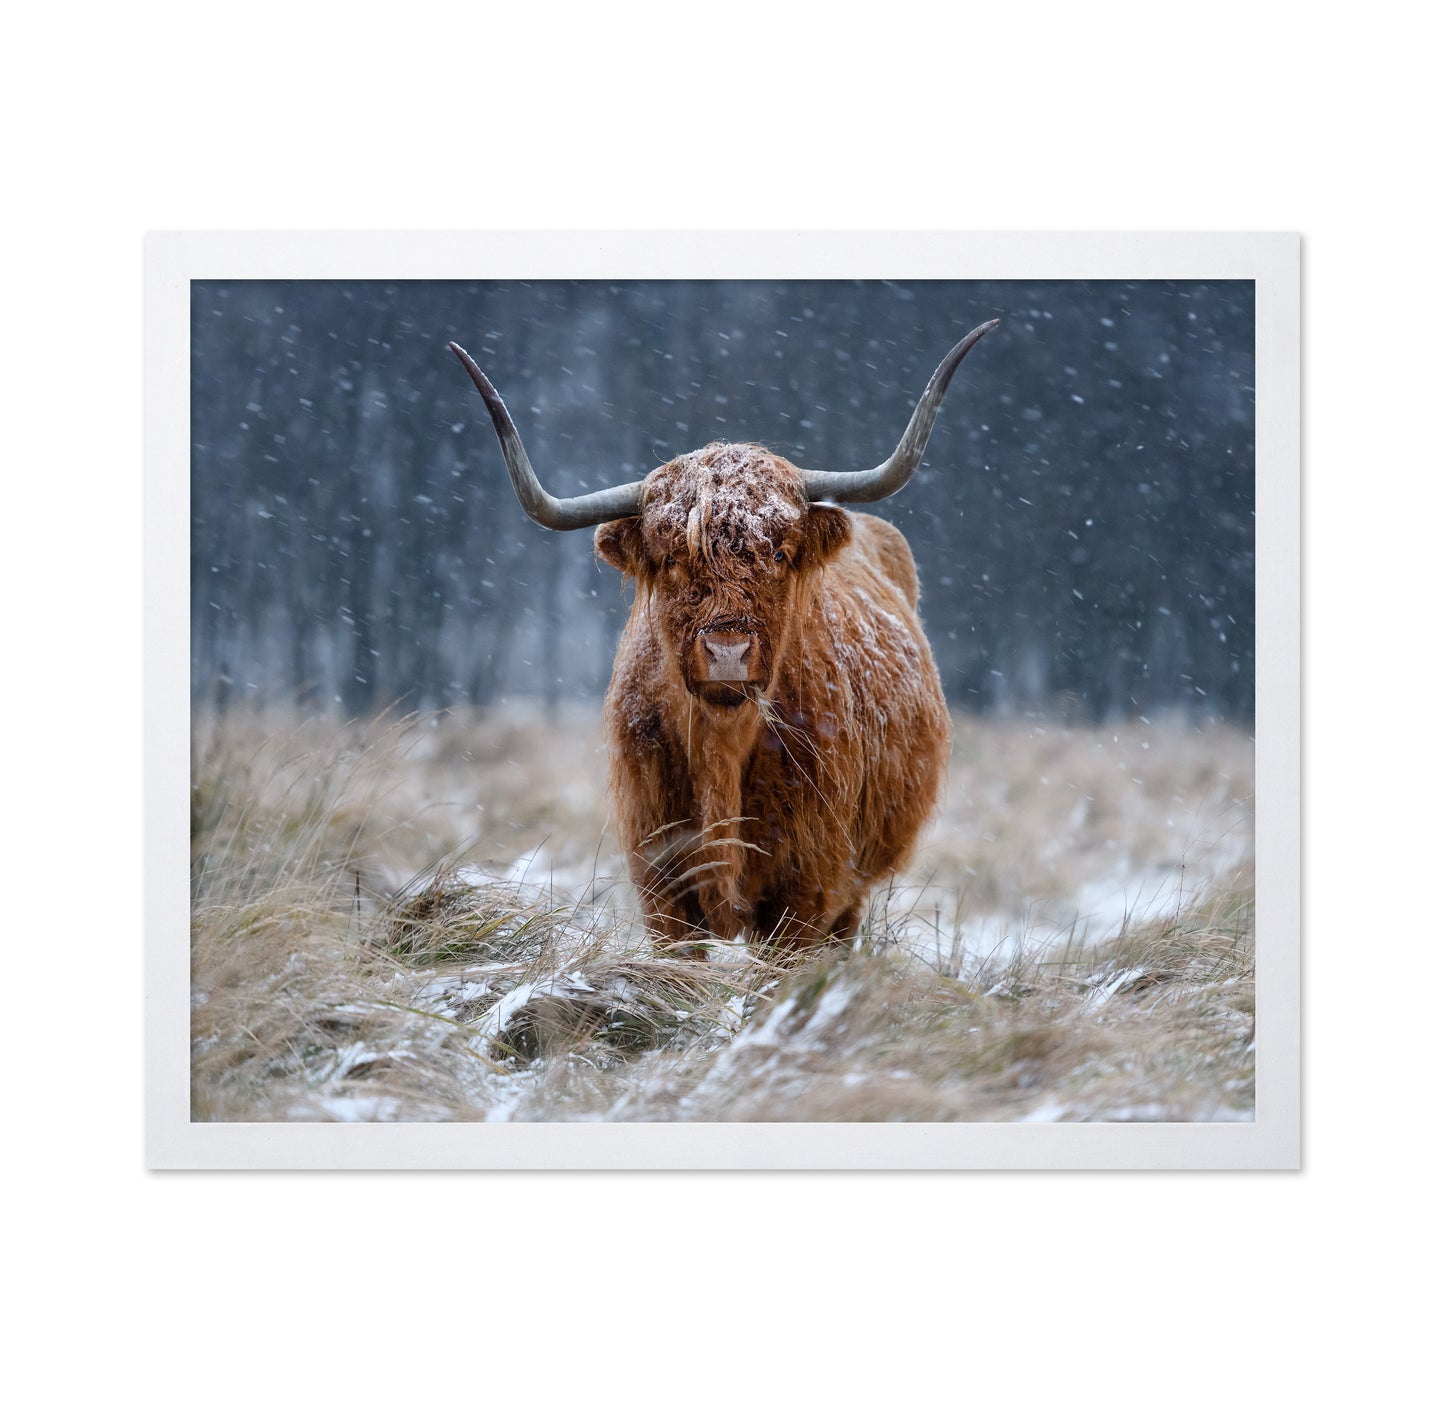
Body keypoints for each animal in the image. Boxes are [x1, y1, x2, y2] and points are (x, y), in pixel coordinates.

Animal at [450, 321, 998, 955]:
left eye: (780, 554)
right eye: (671, 560)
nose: (728, 652)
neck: (722, 749)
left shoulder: (809, 887)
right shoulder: (660, 879)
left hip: (853, 889)